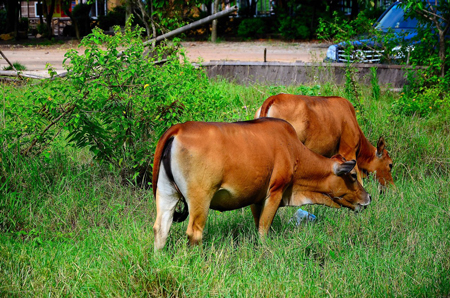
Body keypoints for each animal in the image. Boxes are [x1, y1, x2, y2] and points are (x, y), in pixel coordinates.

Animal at [151, 118, 370, 251]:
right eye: (352, 176)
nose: (368, 197)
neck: (293, 150)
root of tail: (179, 128)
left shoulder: (256, 199)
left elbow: (257, 225)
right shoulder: (275, 192)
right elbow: (264, 229)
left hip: (166, 194)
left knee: (161, 228)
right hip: (200, 198)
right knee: (194, 233)